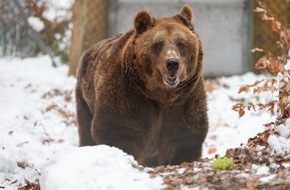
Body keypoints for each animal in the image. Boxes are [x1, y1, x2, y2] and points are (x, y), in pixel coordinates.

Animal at [75, 4, 208, 166]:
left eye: (181, 43)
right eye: (158, 44)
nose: (172, 63)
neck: (161, 95)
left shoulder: (186, 98)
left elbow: (184, 136)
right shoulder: (128, 96)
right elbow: (118, 130)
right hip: (85, 99)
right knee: (85, 129)